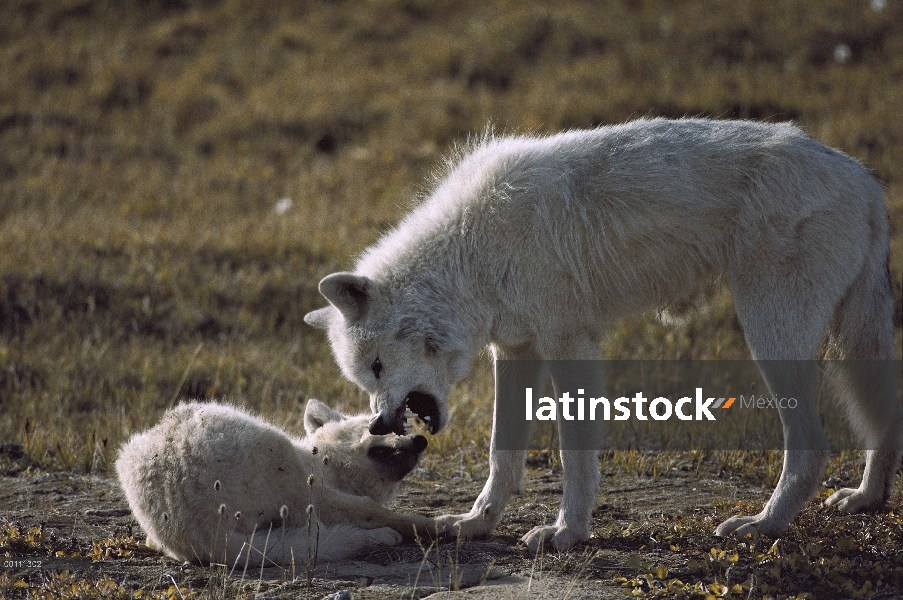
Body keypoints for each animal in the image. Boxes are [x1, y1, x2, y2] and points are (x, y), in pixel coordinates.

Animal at [116, 400, 434, 564]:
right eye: (379, 426)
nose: (421, 440)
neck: (320, 461)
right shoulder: (320, 493)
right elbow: (381, 512)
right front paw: (441, 524)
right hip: (285, 466)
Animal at [306, 117, 903, 548]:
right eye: (365, 380)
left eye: (376, 366)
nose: (379, 424)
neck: (470, 253)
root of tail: (862, 178)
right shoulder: (516, 351)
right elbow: (502, 453)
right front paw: (477, 523)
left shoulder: (570, 347)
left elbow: (574, 456)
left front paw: (567, 533)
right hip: (853, 344)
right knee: (883, 420)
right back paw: (866, 499)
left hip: (772, 338)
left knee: (811, 448)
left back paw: (763, 526)